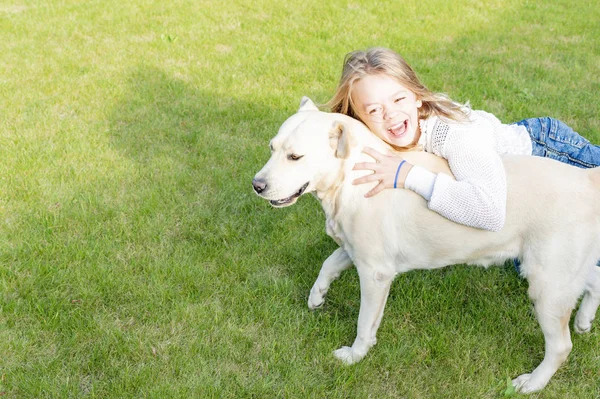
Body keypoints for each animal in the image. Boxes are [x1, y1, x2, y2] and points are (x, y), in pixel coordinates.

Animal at [252, 97, 600, 394]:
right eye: (271, 148)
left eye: (295, 156)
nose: (257, 185)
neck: (350, 176)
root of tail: (586, 180)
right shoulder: (358, 251)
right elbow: (329, 263)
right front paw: (317, 296)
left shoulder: (375, 272)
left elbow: (365, 322)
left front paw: (355, 355)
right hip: (561, 273)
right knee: (594, 281)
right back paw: (584, 321)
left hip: (547, 284)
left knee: (560, 346)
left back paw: (533, 383)